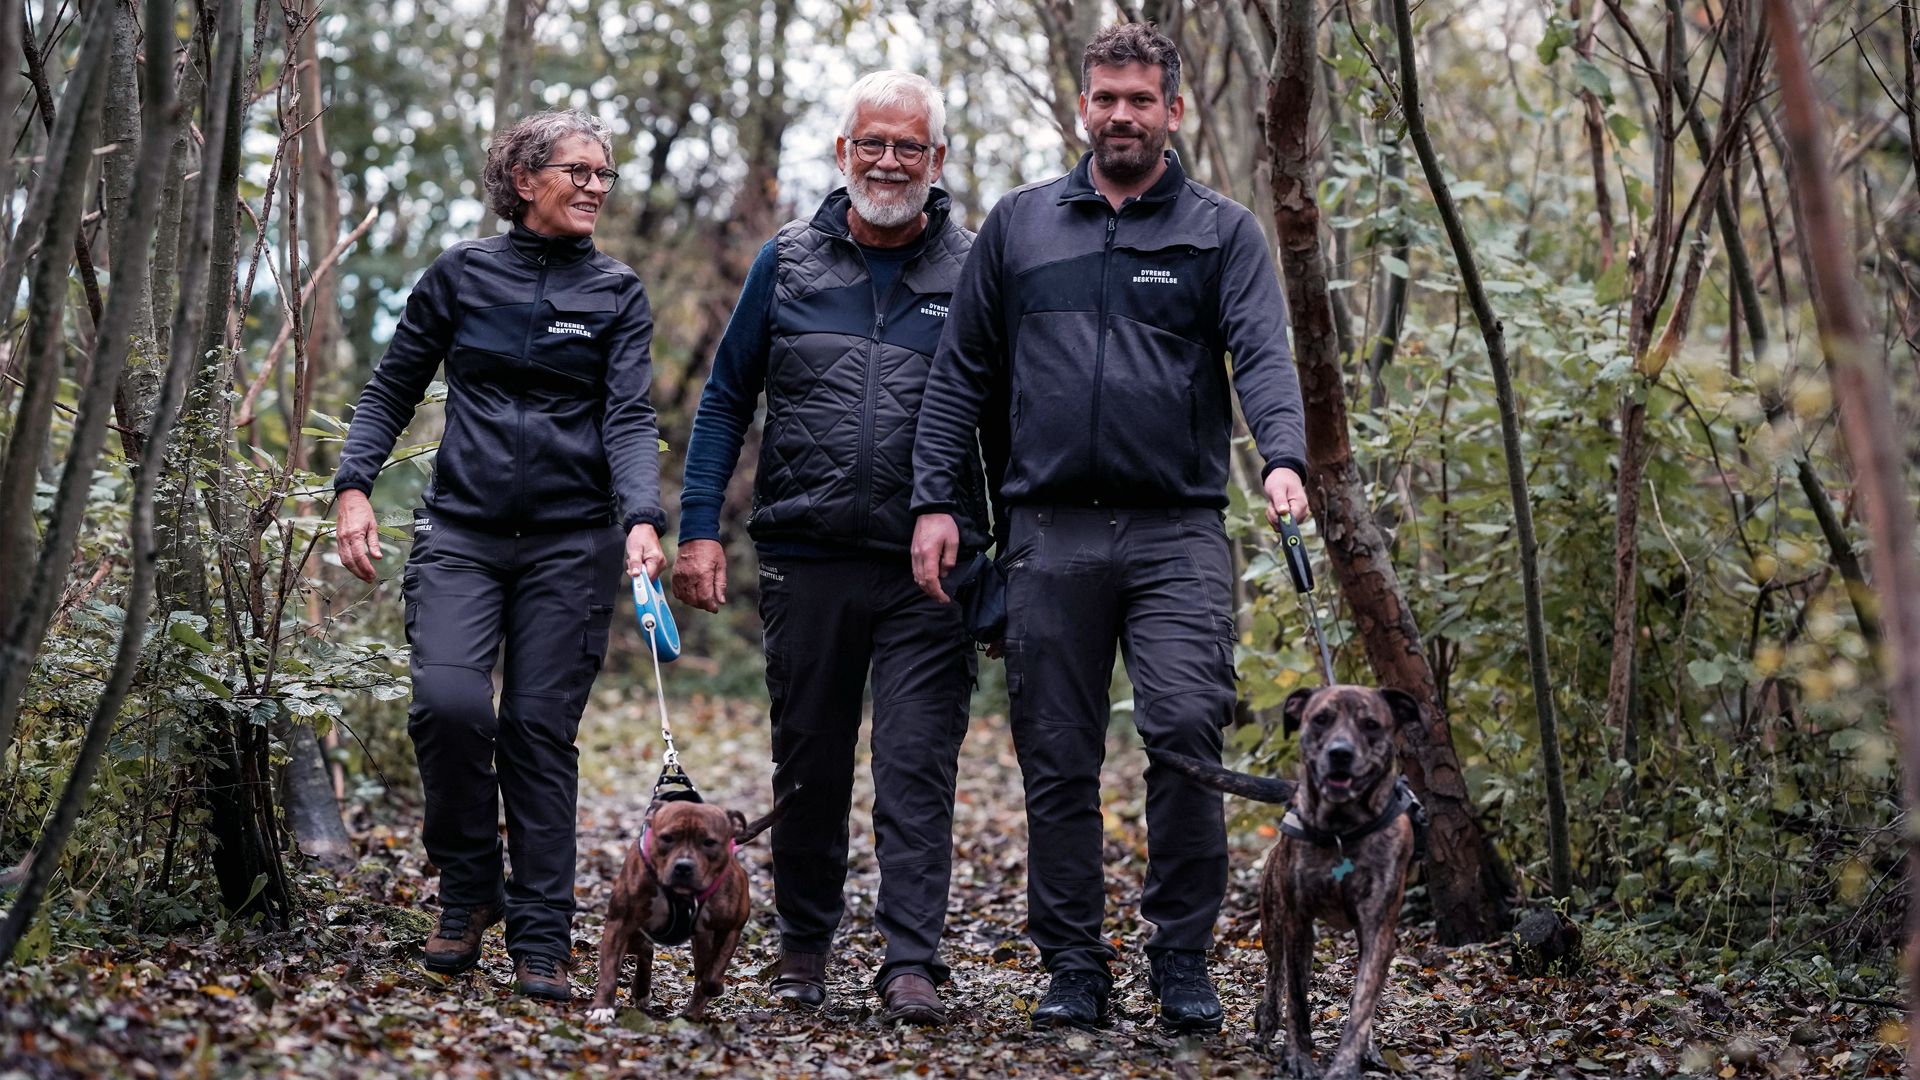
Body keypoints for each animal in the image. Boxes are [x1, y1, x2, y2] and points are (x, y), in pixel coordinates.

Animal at [583, 795, 779, 1022]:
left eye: (709, 842)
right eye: (667, 838)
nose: (683, 866)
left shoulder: (730, 928)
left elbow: (713, 971)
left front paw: (714, 987)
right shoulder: (619, 923)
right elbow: (608, 969)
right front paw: (601, 1007)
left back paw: (691, 1012)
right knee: (644, 949)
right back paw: (642, 991)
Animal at [1144, 684, 1420, 1076]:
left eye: (1371, 724)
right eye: (1321, 719)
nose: (1340, 753)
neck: (1341, 828)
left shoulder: (1378, 930)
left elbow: (1362, 1006)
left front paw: (1346, 1063)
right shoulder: (1296, 921)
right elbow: (1297, 1001)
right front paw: (1298, 1057)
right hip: (1272, 919)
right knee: (1276, 975)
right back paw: (1266, 1024)